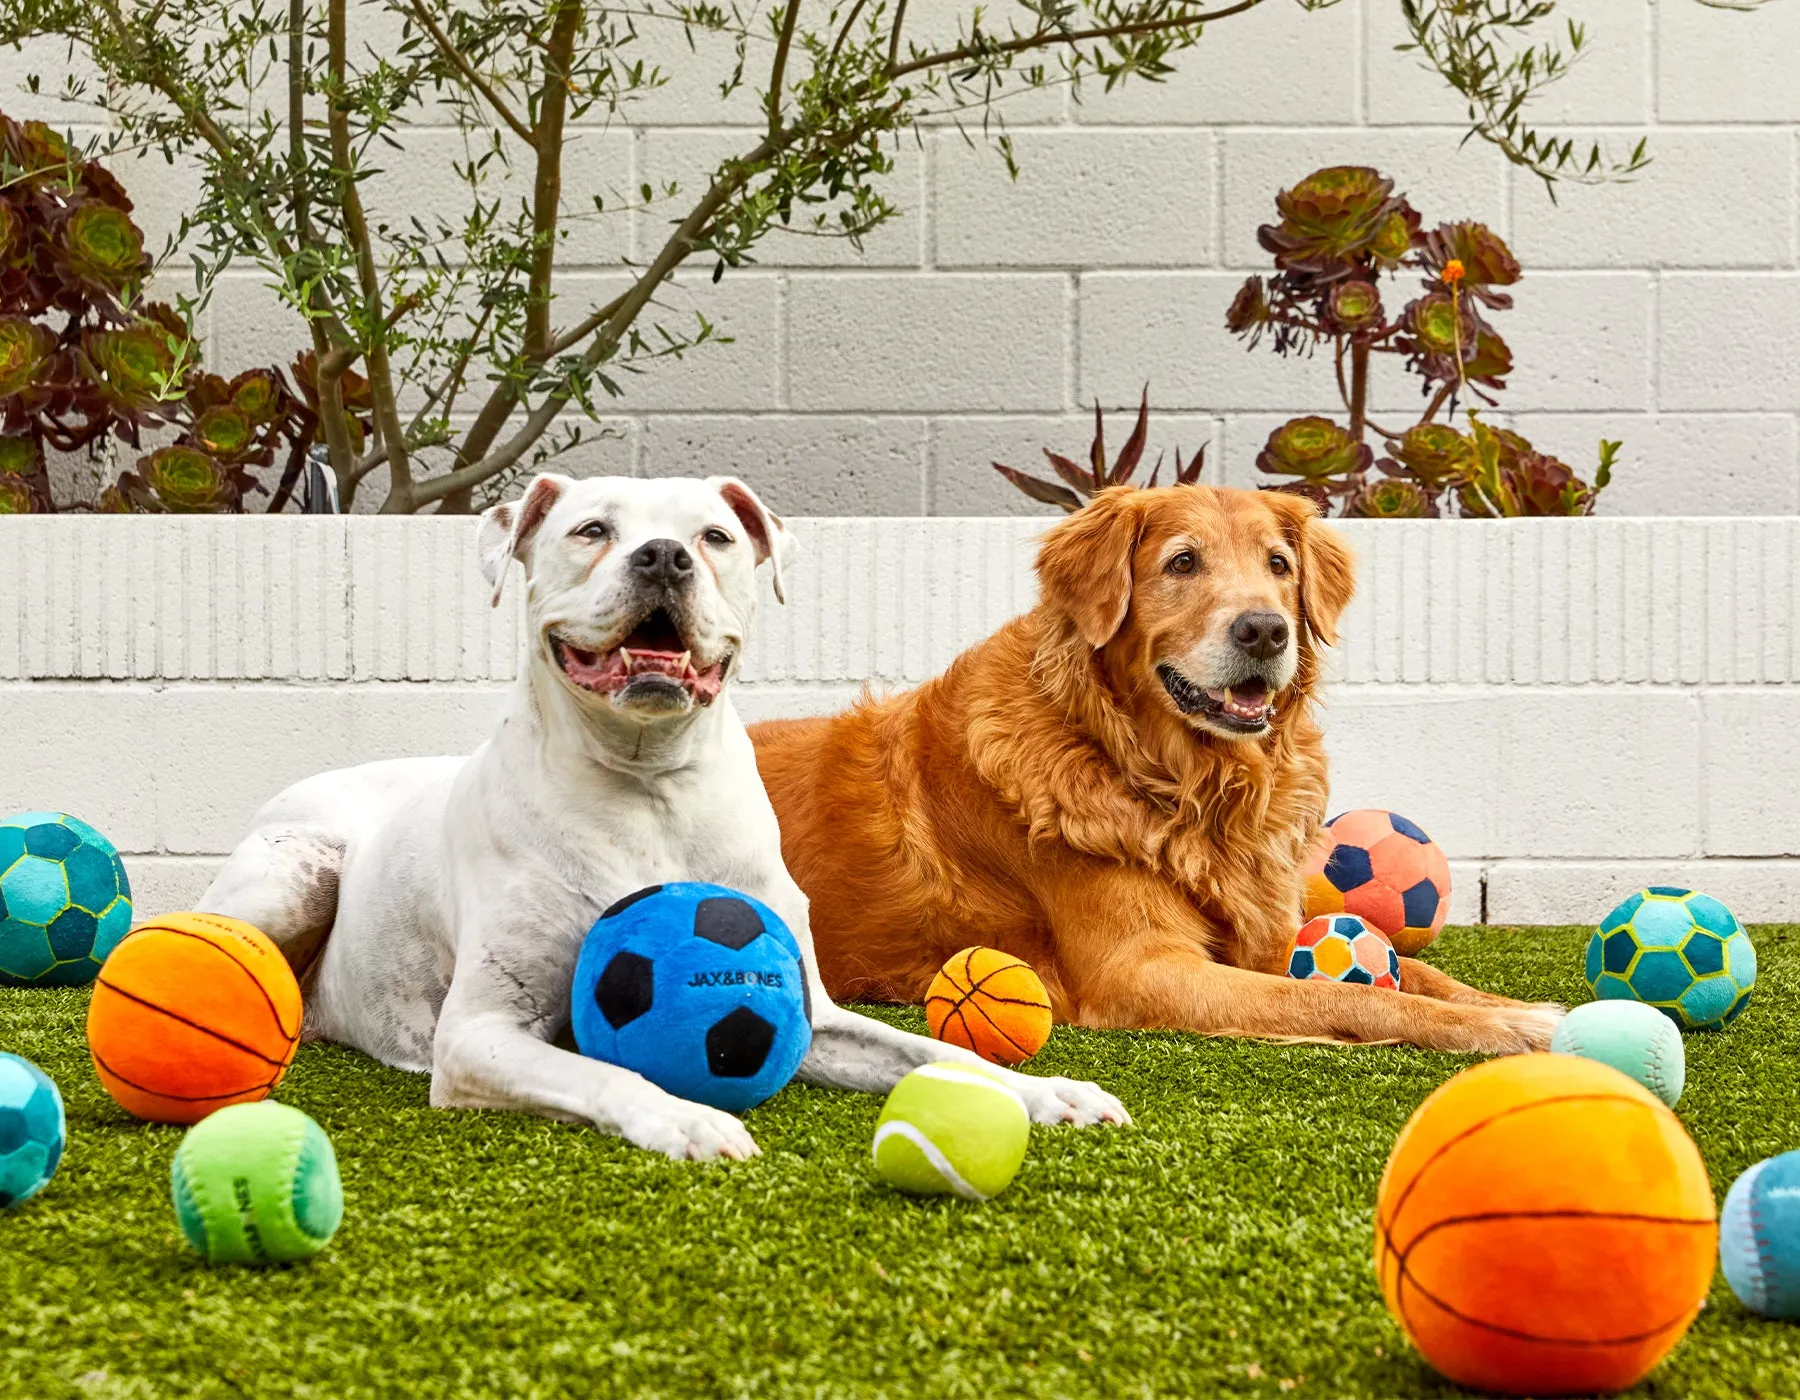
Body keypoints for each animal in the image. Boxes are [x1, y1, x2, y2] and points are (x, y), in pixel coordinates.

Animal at [197, 475, 1123, 1151]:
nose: (665, 556)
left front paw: (1048, 1091)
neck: (649, 786)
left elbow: (934, 1051)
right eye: (590, 530)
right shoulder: (477, 1033)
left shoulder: (814, 1015)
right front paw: (687, 1118)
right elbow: (610, 1071)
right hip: (290, 874)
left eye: (714, 536)